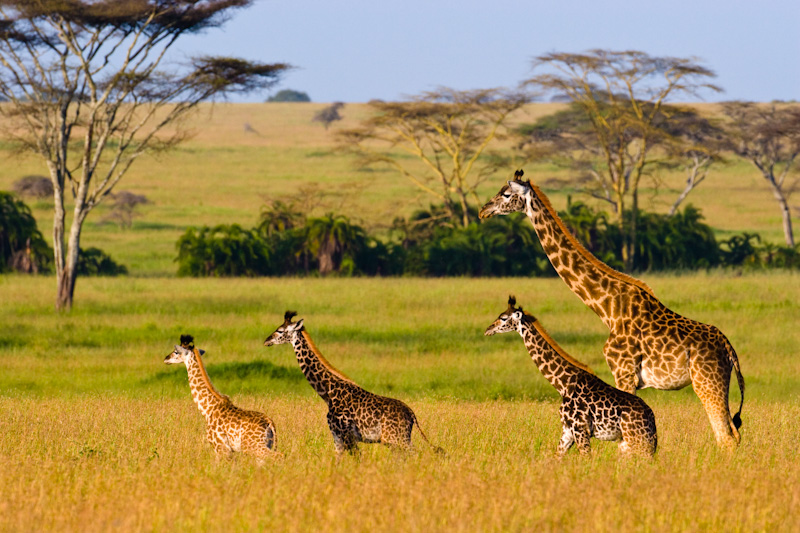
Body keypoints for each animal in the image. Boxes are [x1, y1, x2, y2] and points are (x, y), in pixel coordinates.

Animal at [164, 334, 280, 464]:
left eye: (176, 351)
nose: (166, 358)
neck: (207, 409)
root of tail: (270, 423)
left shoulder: (221, 447)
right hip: (265, 445)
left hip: (253, 446)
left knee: (279, 456)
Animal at [484, 298, 660, 456]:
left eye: (503, 318)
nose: (487, 330)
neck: (563, 384)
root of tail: (652, 420)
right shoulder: (567, 430)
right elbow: (557, 457)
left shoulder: (580, 429)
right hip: (630, 444)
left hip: (636, 441)